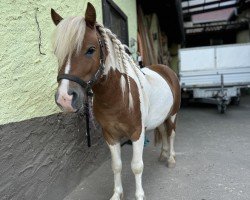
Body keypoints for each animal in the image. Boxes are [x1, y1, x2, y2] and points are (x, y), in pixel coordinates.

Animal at [51, 2, 180, 199]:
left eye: (90, 50)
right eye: (57, 53)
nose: (65, 98)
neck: (118, 95)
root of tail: (166, 70)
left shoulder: (137, 133)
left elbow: (136, 166)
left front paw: (139, 195)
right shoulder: (110, 135)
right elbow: (116, 166)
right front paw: (117, 194)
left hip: (172, 114)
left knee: (171, 133)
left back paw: (171, 159)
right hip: (161, 116)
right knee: (163, 131)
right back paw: (163, 155)